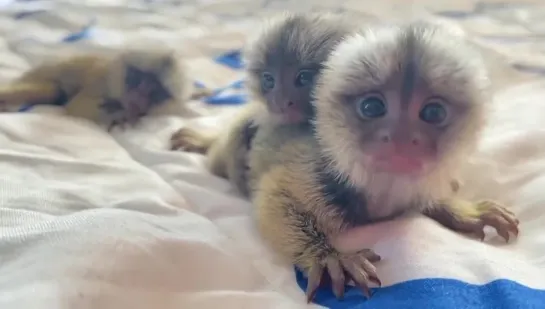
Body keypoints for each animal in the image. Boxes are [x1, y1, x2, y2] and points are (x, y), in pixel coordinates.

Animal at [0, 49, 207, 130]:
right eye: (138, 80)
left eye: (154, 91)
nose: (139, 97)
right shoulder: (100, 83)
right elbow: (77, 108)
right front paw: (120, 115)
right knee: (52, 91)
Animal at [251, 20, 520, 302]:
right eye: (372, 107)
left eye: (433, 112)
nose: (401, 138)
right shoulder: (322, 174)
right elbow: (275, 197)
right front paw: (328, 256)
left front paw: (461, 210)